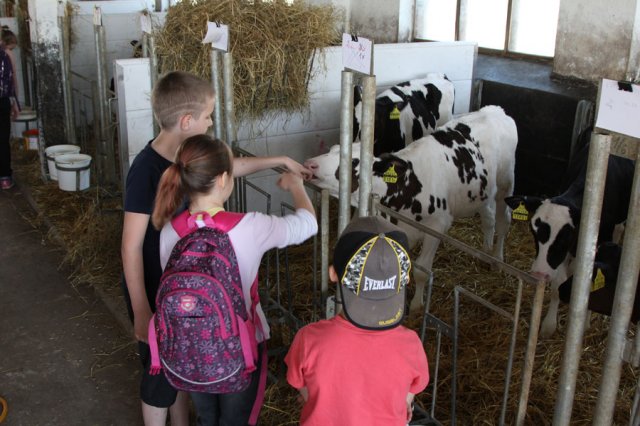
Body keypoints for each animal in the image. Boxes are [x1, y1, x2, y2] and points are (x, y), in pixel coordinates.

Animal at [306, 105, 520, 312]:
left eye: (353, 161)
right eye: (333, 148)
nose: (310, 164)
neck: (407, 189)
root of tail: (496, 110)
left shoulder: (437, 226)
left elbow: (421, 271)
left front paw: (417, 305)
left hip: (506, 184)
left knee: (504, 222)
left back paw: (497, 259)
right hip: (484, 193)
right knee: (488, 218)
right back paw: (485, 251)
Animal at [504, 138, 636, 338]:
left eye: (565, 235)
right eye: (533, 231)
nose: (539, 274)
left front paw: (585, 323)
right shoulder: (562, 256)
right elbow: (557, 284)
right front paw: (549, 325)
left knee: (619, 230)